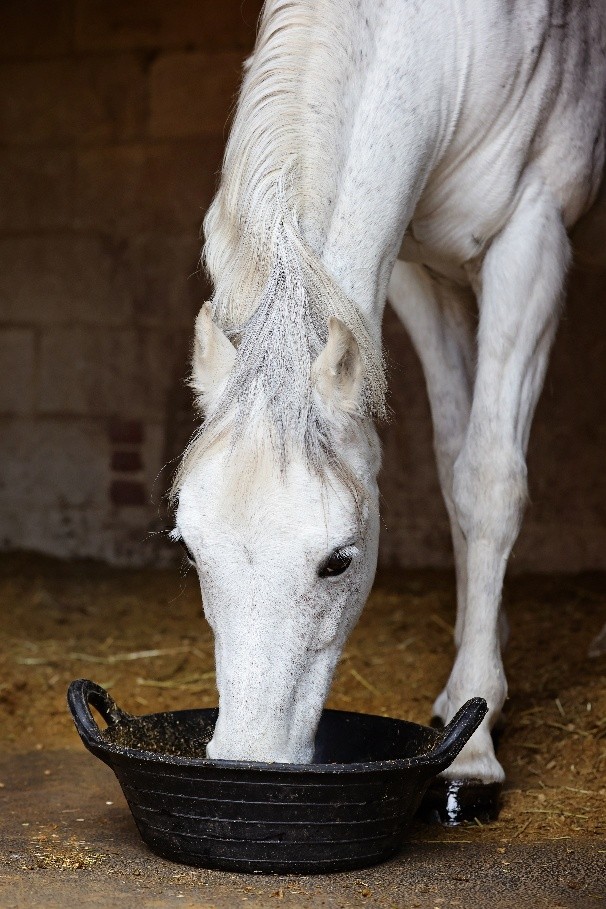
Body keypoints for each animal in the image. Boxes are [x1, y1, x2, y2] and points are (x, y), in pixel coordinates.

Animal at [171, 0, 606, 808]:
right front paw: (473, 686)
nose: (249, 761)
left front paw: (474, 749)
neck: (451, 39)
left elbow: (489, 480)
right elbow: (454, 462)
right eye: (189, 547)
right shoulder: (415, 275)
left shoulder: (529, 238)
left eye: (339, 561)